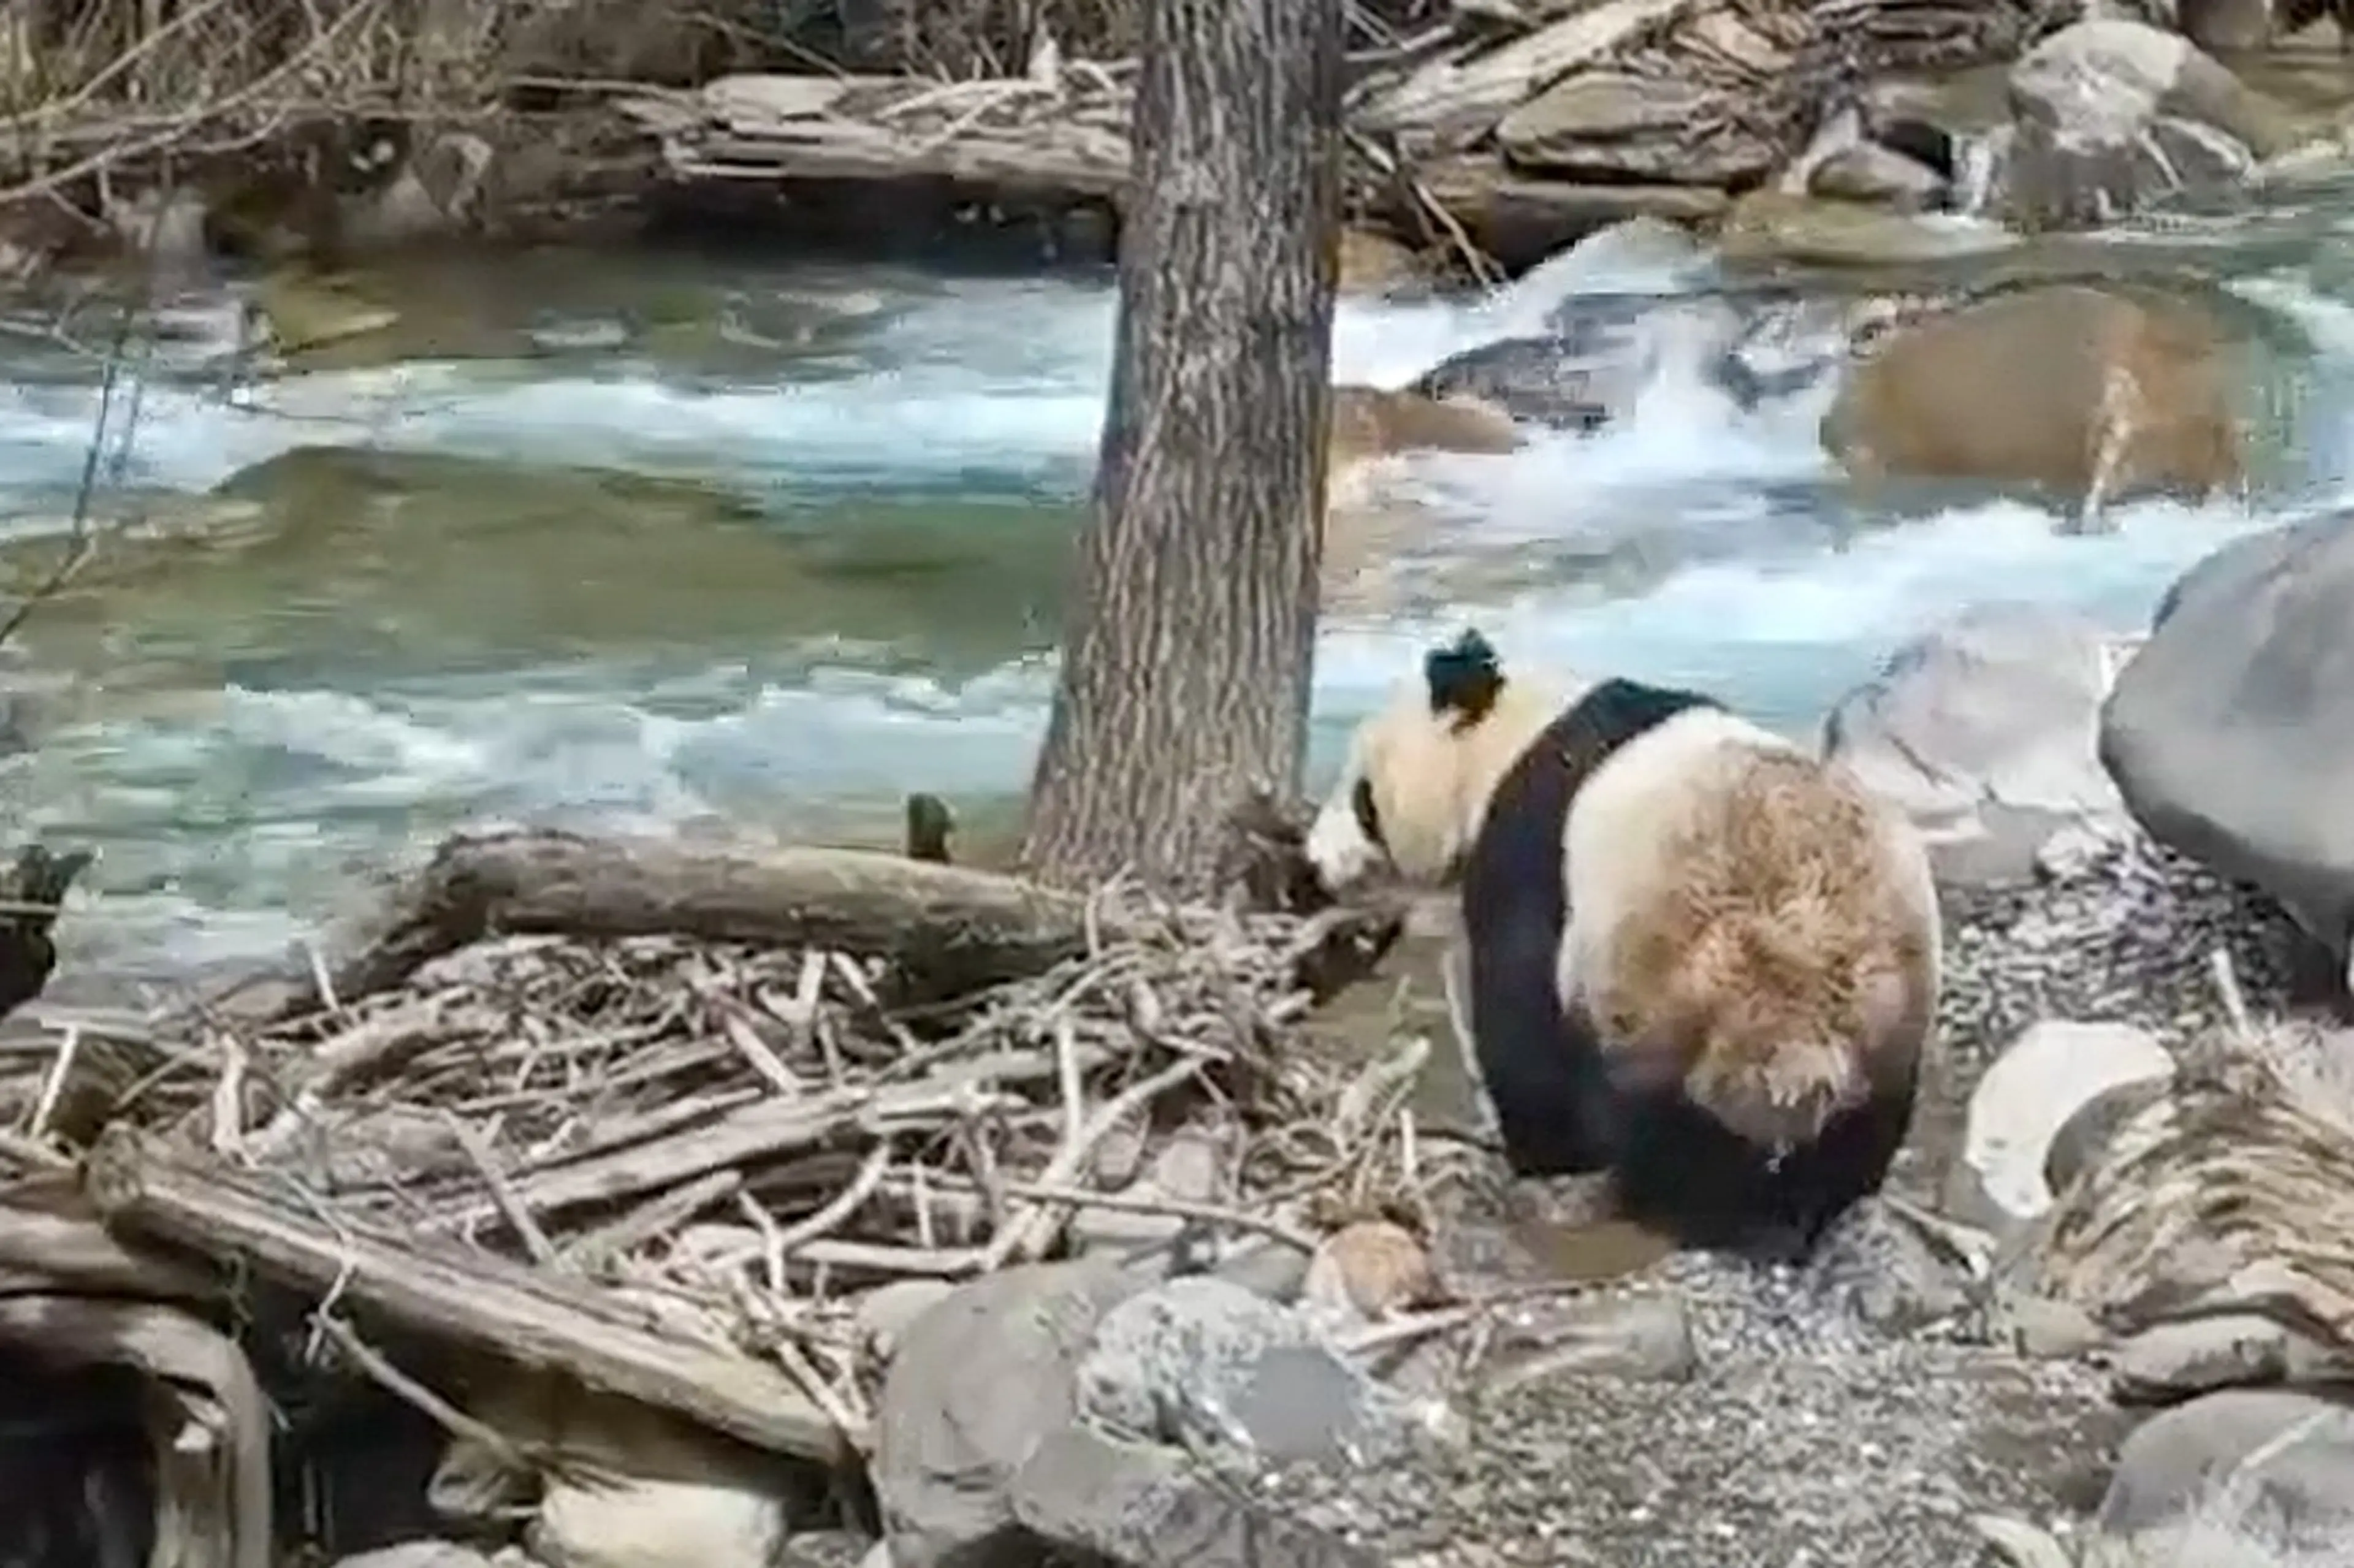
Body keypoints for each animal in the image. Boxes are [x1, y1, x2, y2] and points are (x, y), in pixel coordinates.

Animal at [1304, 628, 1941, 1259]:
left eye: (1362, 798)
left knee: (1666, 1132)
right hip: (1888, 1024)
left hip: (1672, 1007)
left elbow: (1520, 1017)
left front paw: (1539, 1154)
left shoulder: (1532, 852)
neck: (1512, 739)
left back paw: (1699, 1207)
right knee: (1864, 1130)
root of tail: (1802, 1044)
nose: (1315, 862)